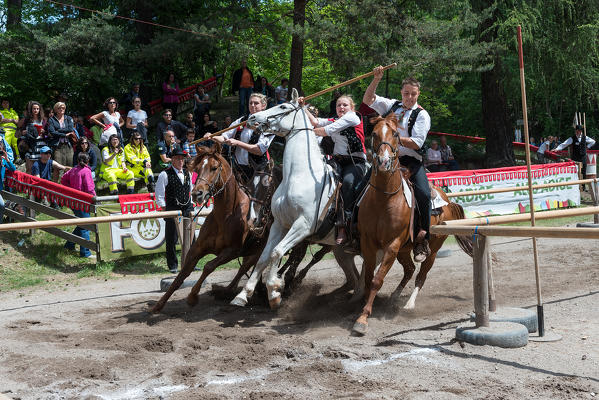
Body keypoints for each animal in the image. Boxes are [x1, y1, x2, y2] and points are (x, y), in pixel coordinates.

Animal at [152, 144, 278, 312]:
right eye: (197, 168)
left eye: (214, 167)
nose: (197, 193)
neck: (225, 216)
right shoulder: (197, 248)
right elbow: (182, 274)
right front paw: (159, 304)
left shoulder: (232, 251)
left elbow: (208, 266)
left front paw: (192, 296)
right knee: (247, 267)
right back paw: (229, 291)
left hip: (260, 250)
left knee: (247, 267)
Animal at [232, 89, 358, 308]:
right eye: (248, 186)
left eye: (282, 106)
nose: (253, 118)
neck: (298, 176)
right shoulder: (280, 224)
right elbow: (264, 257)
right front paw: (243, 294)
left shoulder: (303, 226)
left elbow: (277, 252)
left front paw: (274, 290)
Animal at [352, 114, 474, 336]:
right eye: (374, 133)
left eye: (395, 134)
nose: (383, 161)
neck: (384, 198)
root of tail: (447, 200)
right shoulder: (368, 242)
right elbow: (368, 277)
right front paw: (362, 307)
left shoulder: (392, 244)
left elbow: (376, 279)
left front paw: (363, 318)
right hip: (404, 249)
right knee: (409, 270)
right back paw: (394, 297)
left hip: (432, 249)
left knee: (421, 275)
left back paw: (409, 304)